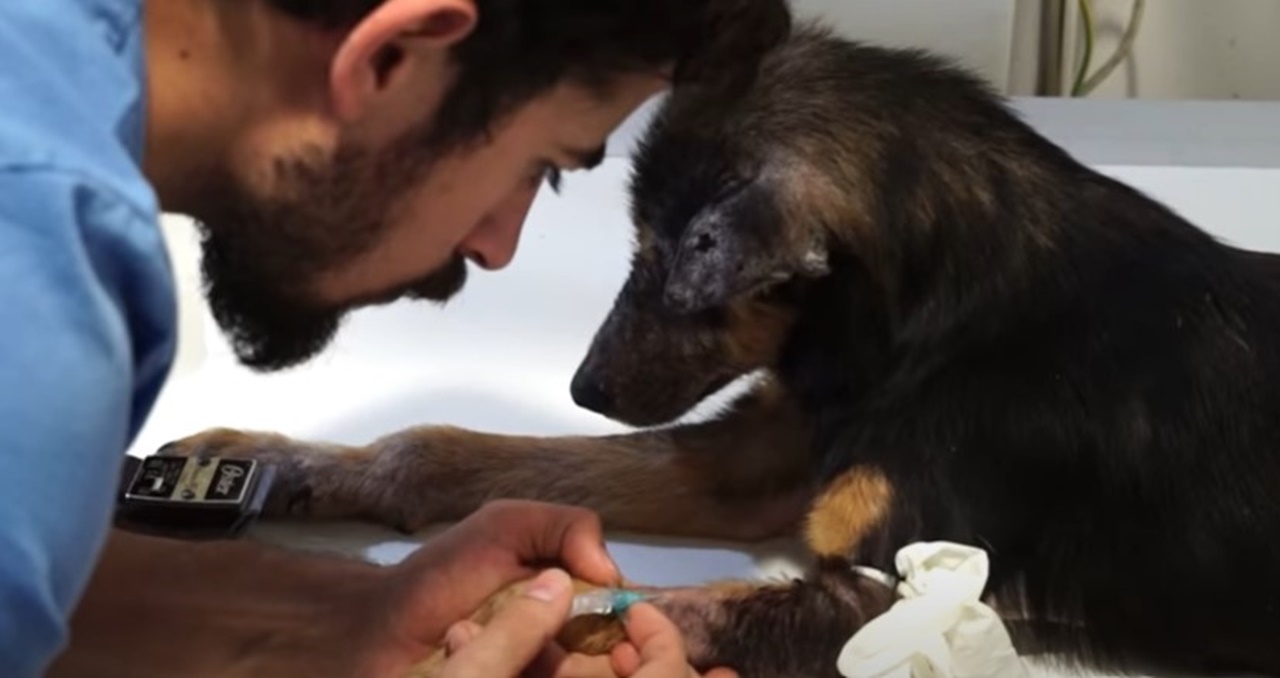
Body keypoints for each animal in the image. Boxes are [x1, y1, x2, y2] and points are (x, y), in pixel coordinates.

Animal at [157, 21, 1280, 675]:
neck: (922, 329)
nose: (584, 385)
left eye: (666, 260)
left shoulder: (915, 595)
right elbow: (449, 450)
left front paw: (469, 610)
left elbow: (651, 600)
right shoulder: (759, 454)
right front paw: (273, 465)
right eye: (635, 250)